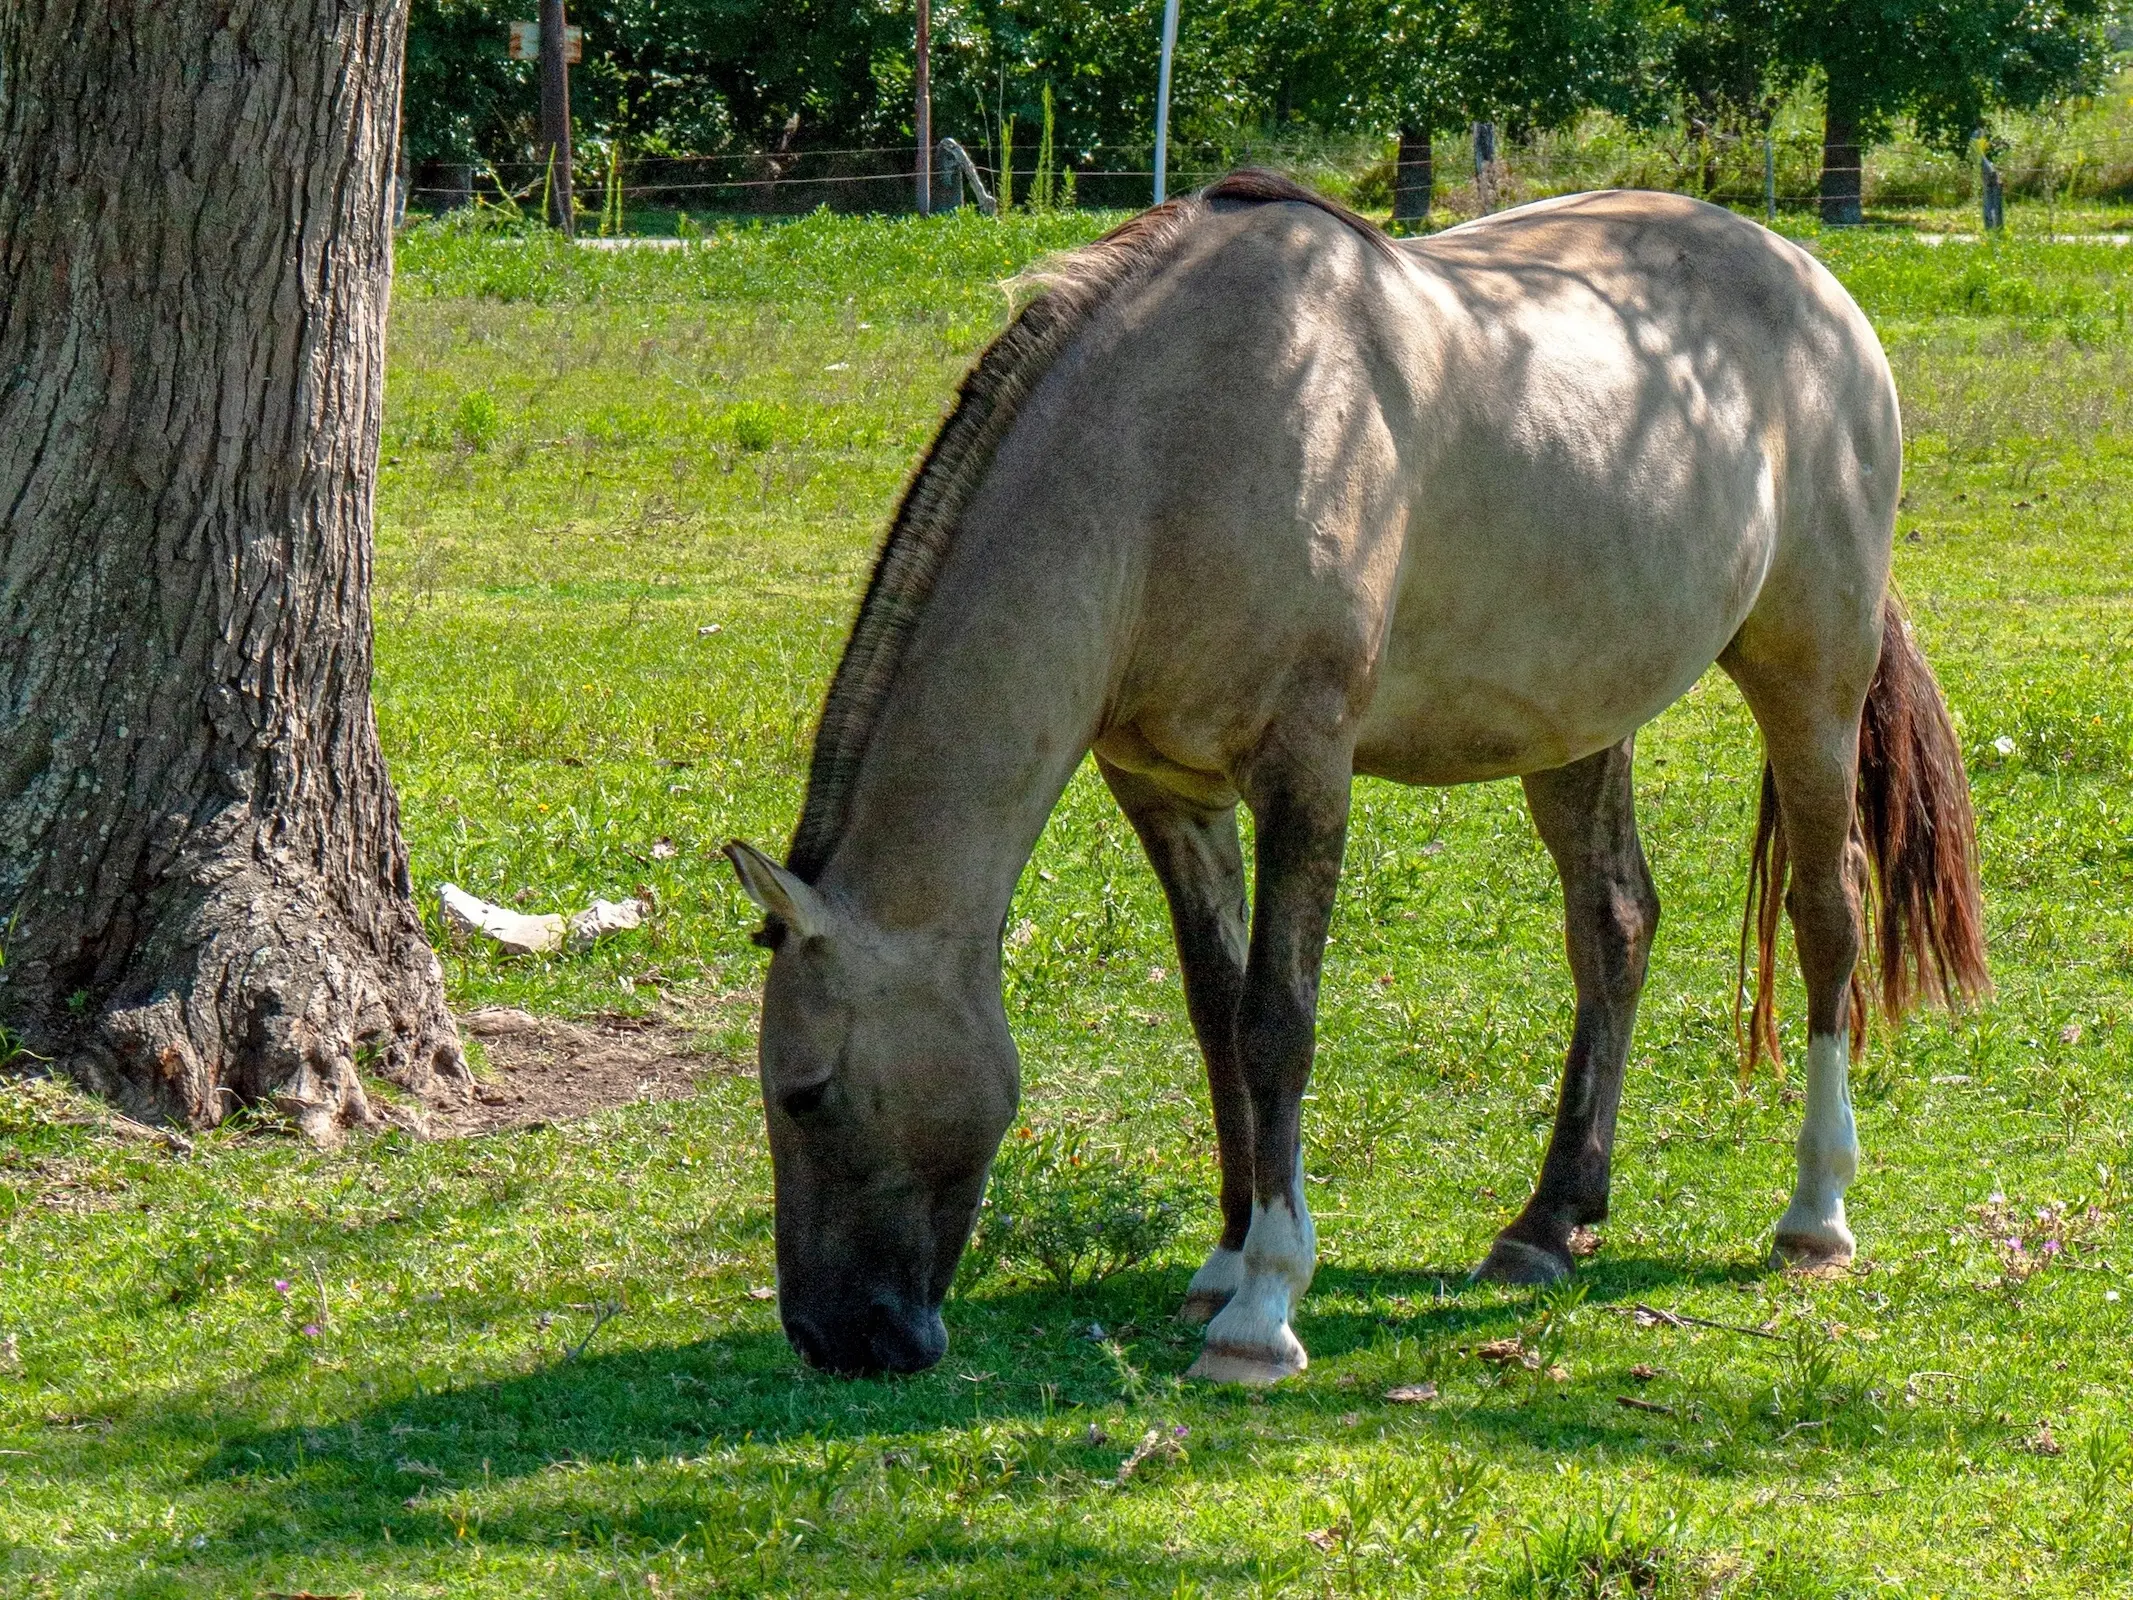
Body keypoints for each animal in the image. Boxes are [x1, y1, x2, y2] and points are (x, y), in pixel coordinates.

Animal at [725, 169, 1987, 1382]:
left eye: (806, 1092)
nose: (836, 1336)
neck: (1168, 455)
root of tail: (1815, 285)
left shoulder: (1305, 768)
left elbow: (1277, 1019)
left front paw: (1263, 1311)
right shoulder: (1163, 786)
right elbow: (1216, 1013)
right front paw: (1226, 1257)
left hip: (1810, 677)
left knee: (1826, 914)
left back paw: (1814, 1213)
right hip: (1583, 722)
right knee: (1615, 928)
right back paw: (1550, 1221)